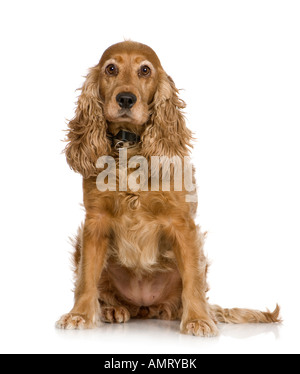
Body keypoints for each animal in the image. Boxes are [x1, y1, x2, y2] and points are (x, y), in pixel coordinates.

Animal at [55, 41, 280, 336]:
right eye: (111, 69)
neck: (130, 148)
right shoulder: (95, 222)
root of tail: (145, 307)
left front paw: (197, 319)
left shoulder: (181, 223)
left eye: (145, 70)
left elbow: (193, 281)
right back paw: (113, 308)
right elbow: (86, 277)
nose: (125, 98)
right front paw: (80, 314)